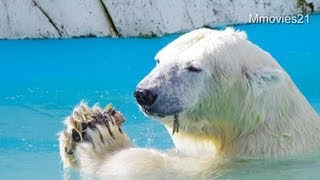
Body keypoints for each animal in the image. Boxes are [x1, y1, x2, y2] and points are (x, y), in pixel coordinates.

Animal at [58, 28, 320, 177]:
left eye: (193, 67)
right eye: (159, 60)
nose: (144, 93)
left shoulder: (246, 164)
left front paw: (103, 139)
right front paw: (77, 124)